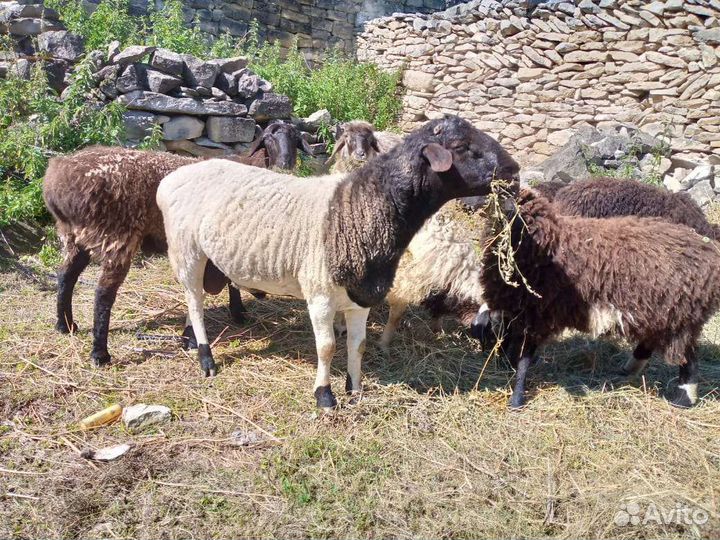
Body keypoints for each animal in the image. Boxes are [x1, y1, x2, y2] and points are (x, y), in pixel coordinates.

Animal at [43, 122, 306, 368]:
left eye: (295, 138)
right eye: (269, 137)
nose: (286, 163)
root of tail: (57, 181)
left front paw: (237, 311)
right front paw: (236, 313)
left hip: (74, 236)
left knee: (66, 275)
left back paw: (65, 325)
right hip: (117, 235)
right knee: (102, 293)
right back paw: (100, 354)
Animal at [156, 115, 520, 409]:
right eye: (461, 146)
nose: (514, 172)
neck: (358, 209)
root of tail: (175, 176)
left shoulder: (362, 296)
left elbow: (357, 346)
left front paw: (355, 390)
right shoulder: (319, 296)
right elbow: (328, 347)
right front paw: (325, 396)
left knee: (191, 299)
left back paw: (189, 339)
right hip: (187, 249)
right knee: (195, 300)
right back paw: (205, 357)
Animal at [480, 186, 720, 409]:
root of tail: (710, 251)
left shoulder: (537, 313)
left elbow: (524, 358)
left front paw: (516, 398)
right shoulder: (521, 311)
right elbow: (512, 341)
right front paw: (506, 364)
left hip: (682, 315)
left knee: (688, 359)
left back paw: (683, 399)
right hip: (660, 314)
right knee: (653, 343)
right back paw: (628, 369)